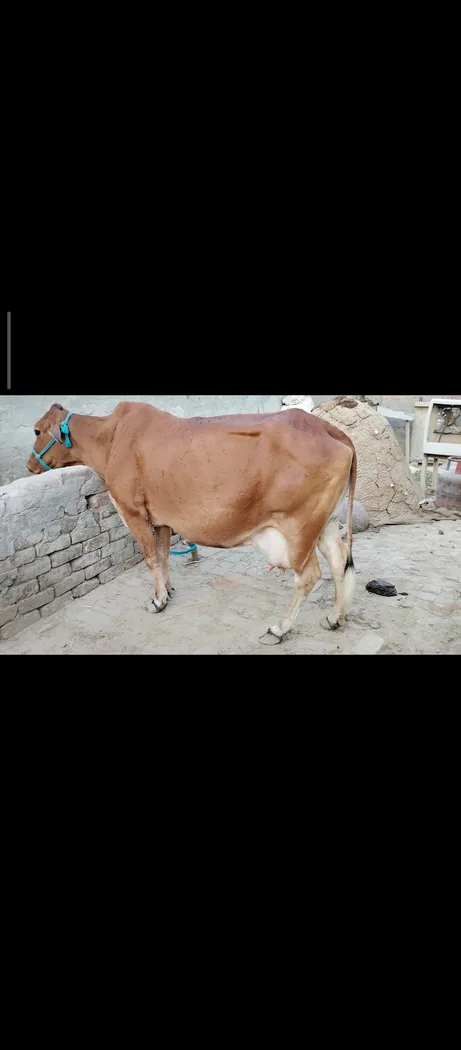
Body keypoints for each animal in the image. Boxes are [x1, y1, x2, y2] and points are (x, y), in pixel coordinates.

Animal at [27, 401, 357, 644]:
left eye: (36, 430)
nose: (29, 466)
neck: (110, 438)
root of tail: (330, 429)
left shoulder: (133, 512)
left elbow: (150, 558)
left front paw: (157, 601)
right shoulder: (161, 518)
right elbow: (162, 556)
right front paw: (168, 590)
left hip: (298, 529)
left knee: (310, 576)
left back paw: (280, 628)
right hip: (326, 524)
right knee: (341, 562)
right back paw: (335, 618)